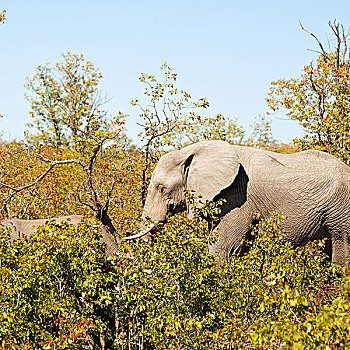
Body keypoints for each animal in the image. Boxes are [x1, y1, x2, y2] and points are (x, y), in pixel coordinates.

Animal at [124, 139, 350, 266]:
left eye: (162, 188)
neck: (193, 151)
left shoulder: (237, 196)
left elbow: (225, 247)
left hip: (341, 209)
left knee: (342, 248)